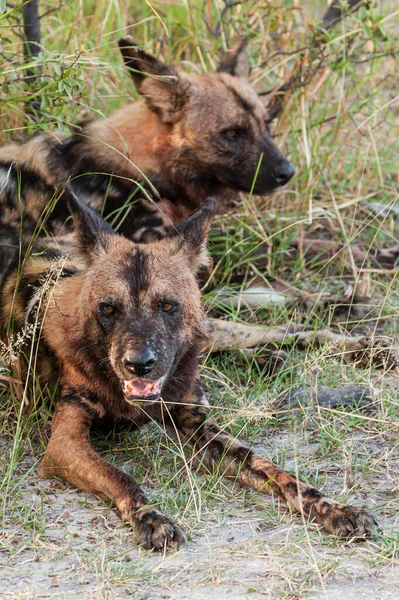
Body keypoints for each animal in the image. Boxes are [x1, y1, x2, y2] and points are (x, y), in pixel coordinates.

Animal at [0, 190, 378, 552]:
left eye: (167, 306)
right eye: (108, 309)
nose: (139, 363)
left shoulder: (199, 429)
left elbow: (281, 475)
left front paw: (334, 508)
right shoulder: (65, 445)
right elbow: (121, 477)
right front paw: (151, 518)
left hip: (219, 329)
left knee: (286, 328)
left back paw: (363, 345)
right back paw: (270, 359)